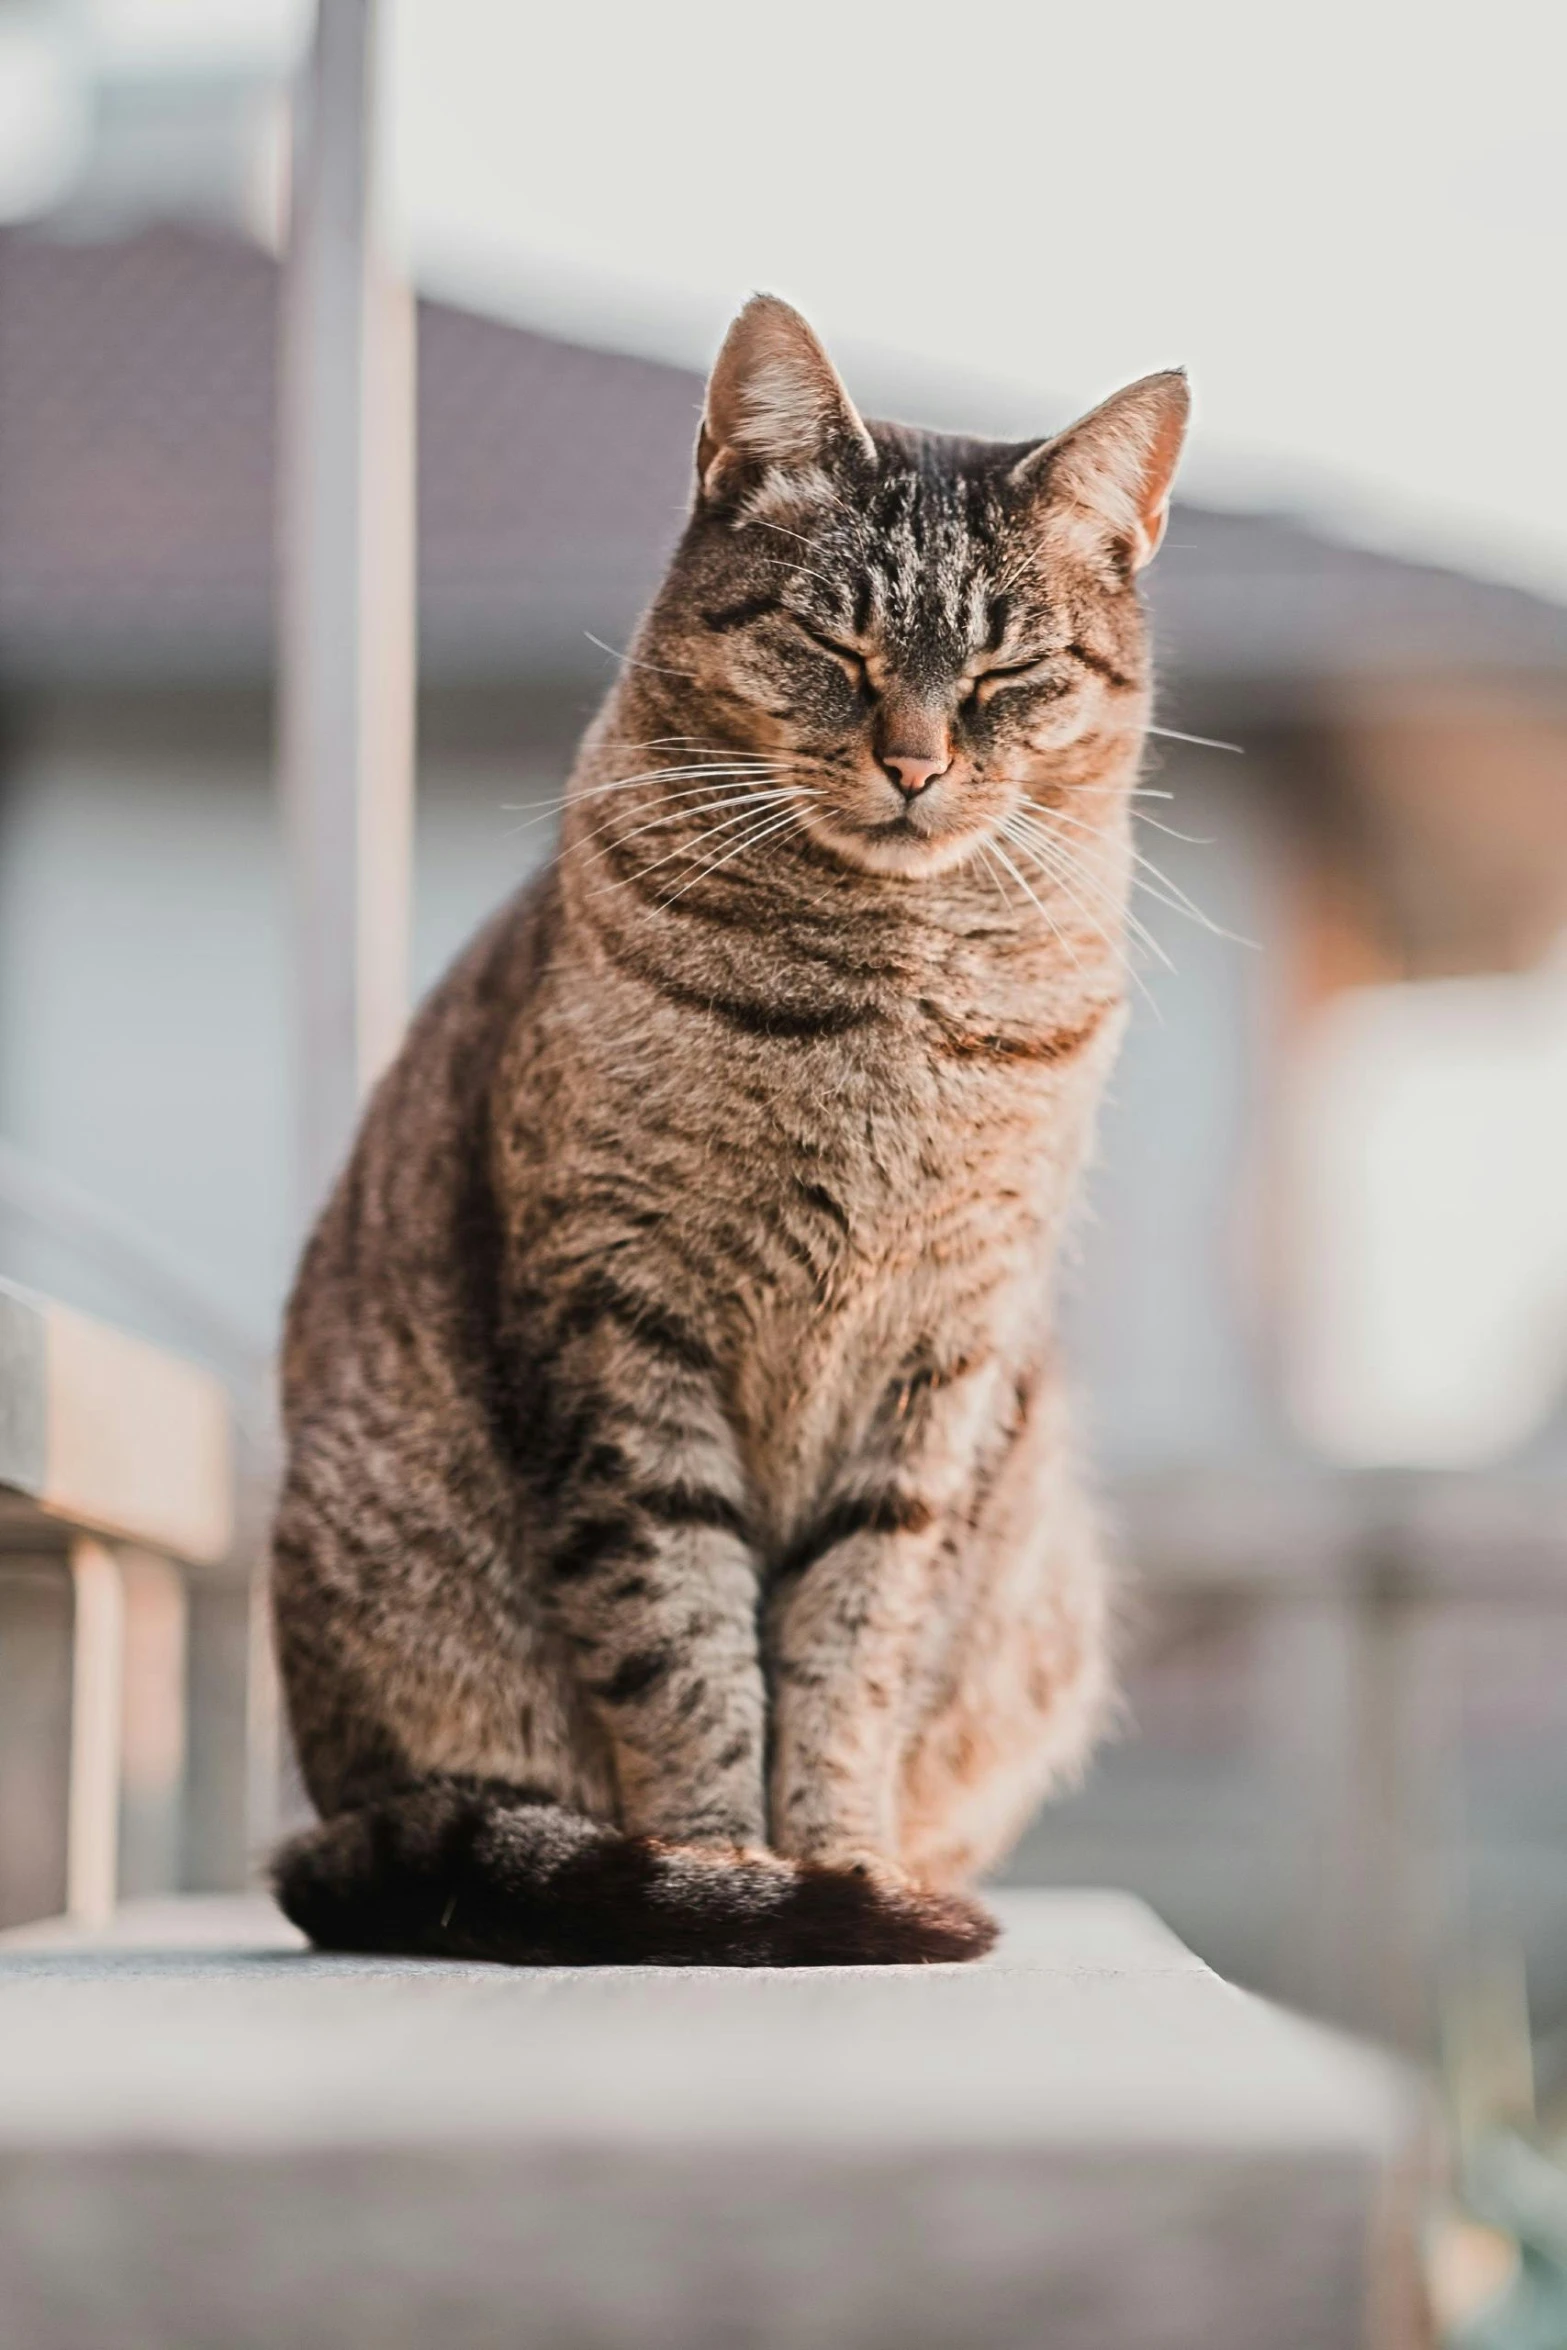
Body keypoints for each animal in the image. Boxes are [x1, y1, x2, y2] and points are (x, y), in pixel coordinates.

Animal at [272, 289, 1188, 1964]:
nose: (915, 761)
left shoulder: (934, 1364)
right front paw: (728, 1871)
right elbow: (681, 1642)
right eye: (835, 641)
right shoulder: (619, 1326)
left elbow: (849, 1648)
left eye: (1006, 673)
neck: (885, 996)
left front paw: (839, 1860)